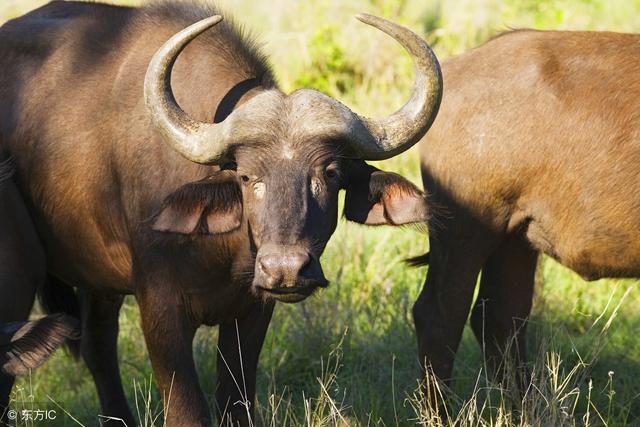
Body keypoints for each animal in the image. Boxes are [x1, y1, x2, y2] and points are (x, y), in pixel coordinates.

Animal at [0, 1, 440, 426]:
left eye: (330, 172)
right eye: (246, 176)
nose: (285, 269)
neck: (221, 251)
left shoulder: (253, 309)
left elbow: (235, 403)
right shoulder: (159, 309)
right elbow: (187, 411)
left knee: (97, 344)